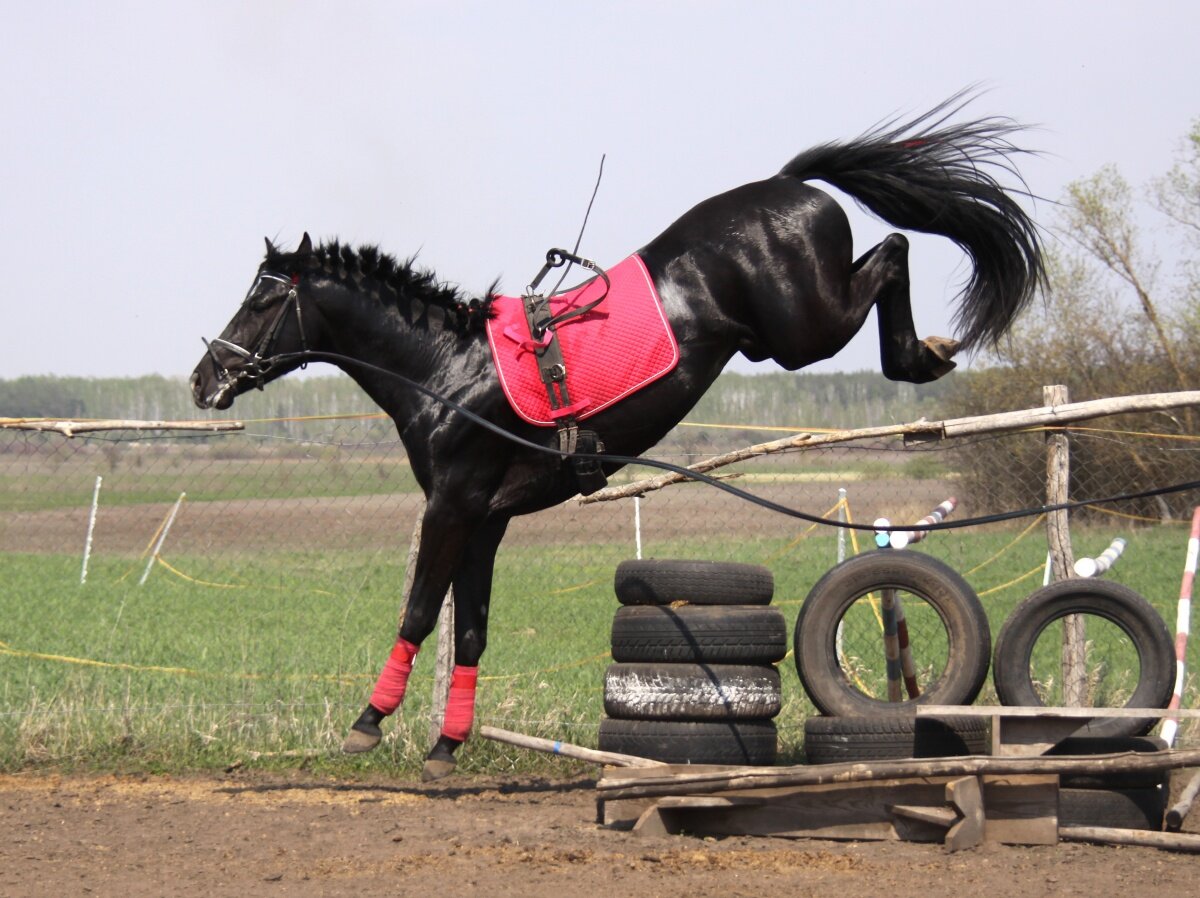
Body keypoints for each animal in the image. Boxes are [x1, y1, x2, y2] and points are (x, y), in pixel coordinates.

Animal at [187, 96, 1041, 777]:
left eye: (261, 301)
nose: (205, 379)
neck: (444, 370)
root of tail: (790, 184)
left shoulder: (453, 505)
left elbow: (422, 612)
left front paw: (368, 724)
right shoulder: (485, 520)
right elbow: (472, 631)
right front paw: (447, 745)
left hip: (803, 330)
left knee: (892, 253)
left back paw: (925, 352)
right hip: (786, 337)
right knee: (889, 252)